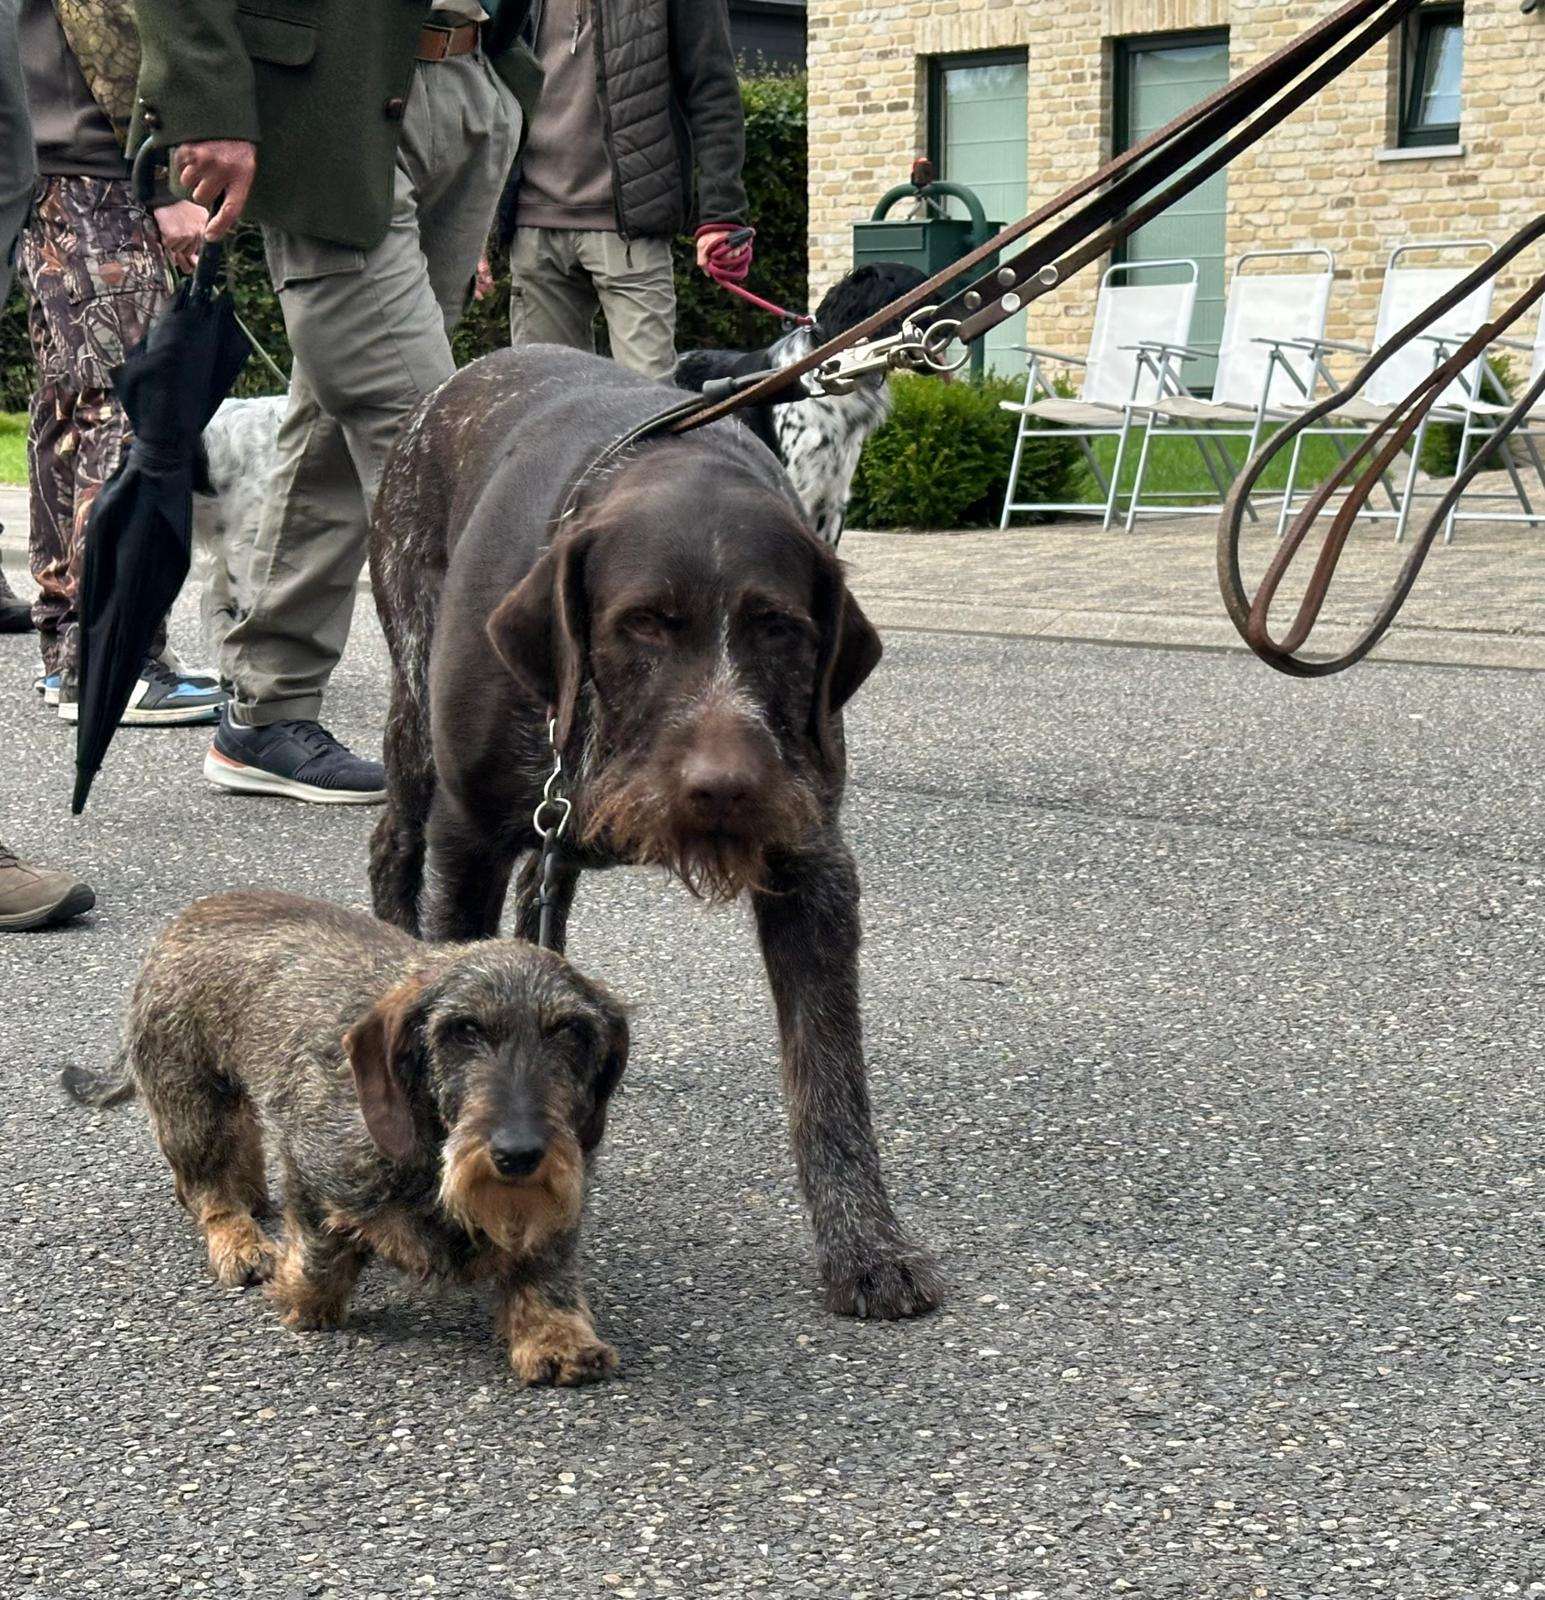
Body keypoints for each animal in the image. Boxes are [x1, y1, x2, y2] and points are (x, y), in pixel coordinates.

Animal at [64, 890, 629, 1385]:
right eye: (463, 1029)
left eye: (572, 1032)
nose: (518, 1154)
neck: (429, 1150)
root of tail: (189, 917)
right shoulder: (312, 1166)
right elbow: (321, 1249)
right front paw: (304, 1301)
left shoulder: (556, 1197)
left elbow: (544, 1264)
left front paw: (554, 1334)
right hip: (192, 1101)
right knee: (207, 1187)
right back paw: (239, 1240)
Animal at [367, 344, 944, 1321]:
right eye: (641, 622)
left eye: (780, 627)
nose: (726, 790)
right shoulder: (468, 839)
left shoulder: (811, 864)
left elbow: (829, 1079)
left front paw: (865, 1244)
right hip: (415, 723)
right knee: (390, 849)